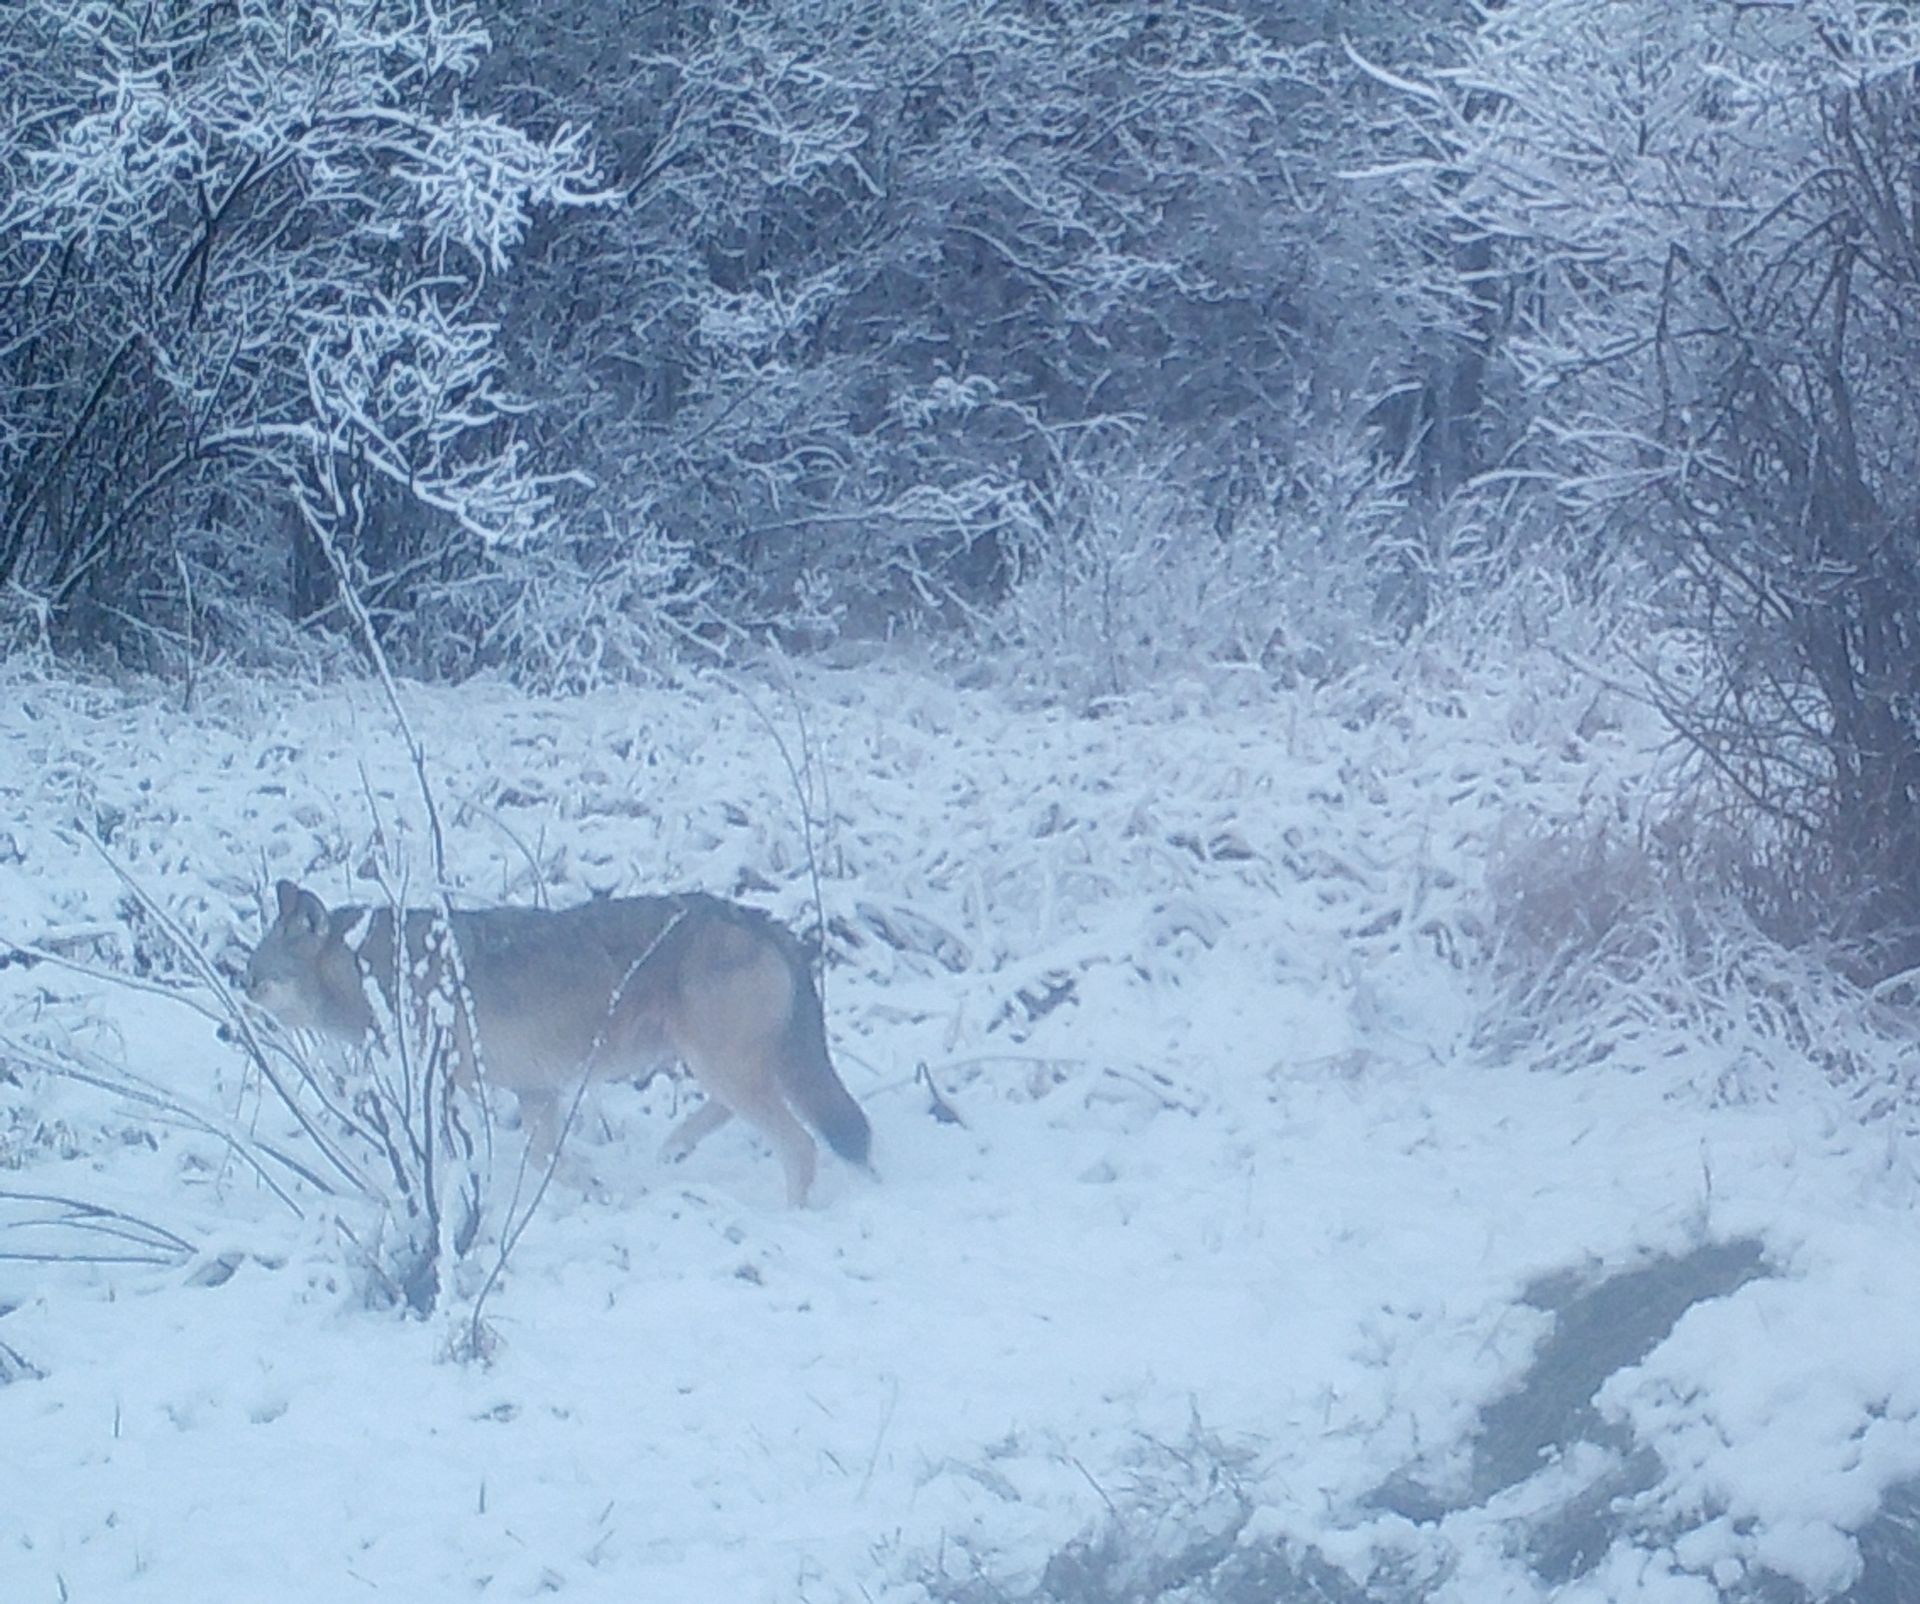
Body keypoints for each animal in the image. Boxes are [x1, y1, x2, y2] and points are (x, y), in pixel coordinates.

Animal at [245, 880, 871, 1205]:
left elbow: (461, 1161)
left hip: (720, 1065)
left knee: (800, 1143)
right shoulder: (537, 1091)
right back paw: (674, 1147)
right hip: (713, 1064)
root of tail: (757, 917)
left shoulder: (445, 1089)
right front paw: (595, 1189)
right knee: (738, 1114)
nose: (235, 1007)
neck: (376, 972)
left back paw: (791, 1215)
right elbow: (547, 1157)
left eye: (255, 978)